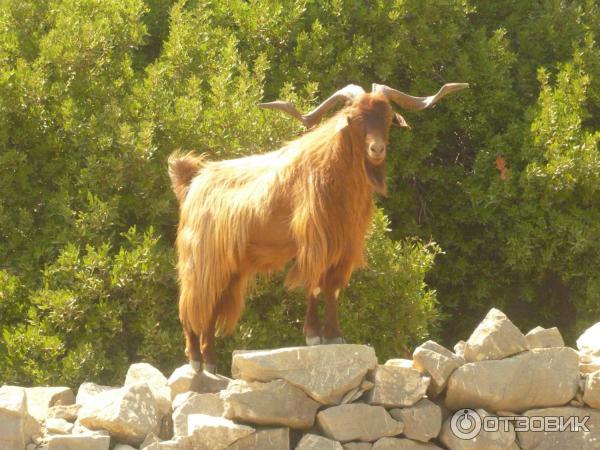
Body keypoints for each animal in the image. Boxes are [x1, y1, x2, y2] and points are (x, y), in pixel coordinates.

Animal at [168, 81, 468, 372]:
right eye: (354, 118)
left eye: (387, 117)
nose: (377, 149)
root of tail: (193, 180)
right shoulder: (315, 241)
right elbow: (313, 285)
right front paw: (313, 335)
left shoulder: (344, 245)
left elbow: (332, 288)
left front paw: (334, 335)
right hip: (201, 259)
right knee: (191, 305)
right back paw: (196, 360)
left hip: (229, 267)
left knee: (209, 308)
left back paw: (210, 361)